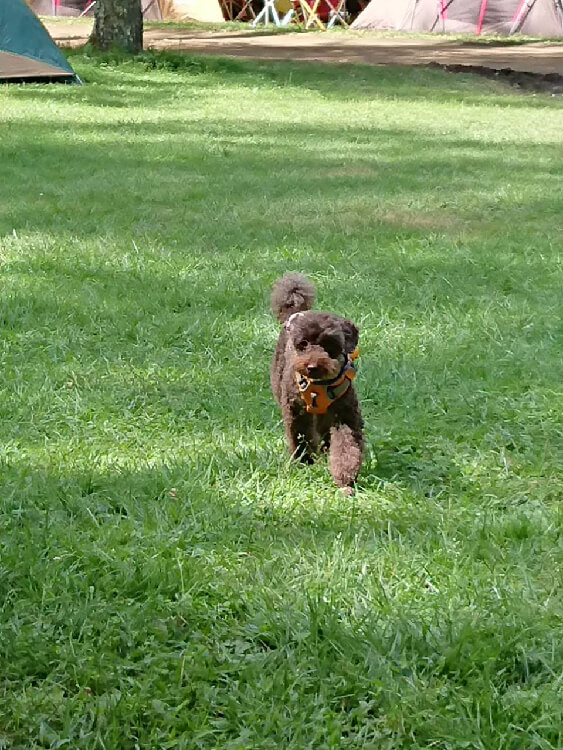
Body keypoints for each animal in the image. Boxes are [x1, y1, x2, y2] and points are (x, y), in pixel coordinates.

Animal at [272, 274, 366, 494]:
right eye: (303, 344)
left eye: (330, 344)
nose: (312, 366)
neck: (318, 385)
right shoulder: (295, 411)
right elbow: (300, 438)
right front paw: (304, 462)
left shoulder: (345, 415)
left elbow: (346, 447)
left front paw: (346, 479)